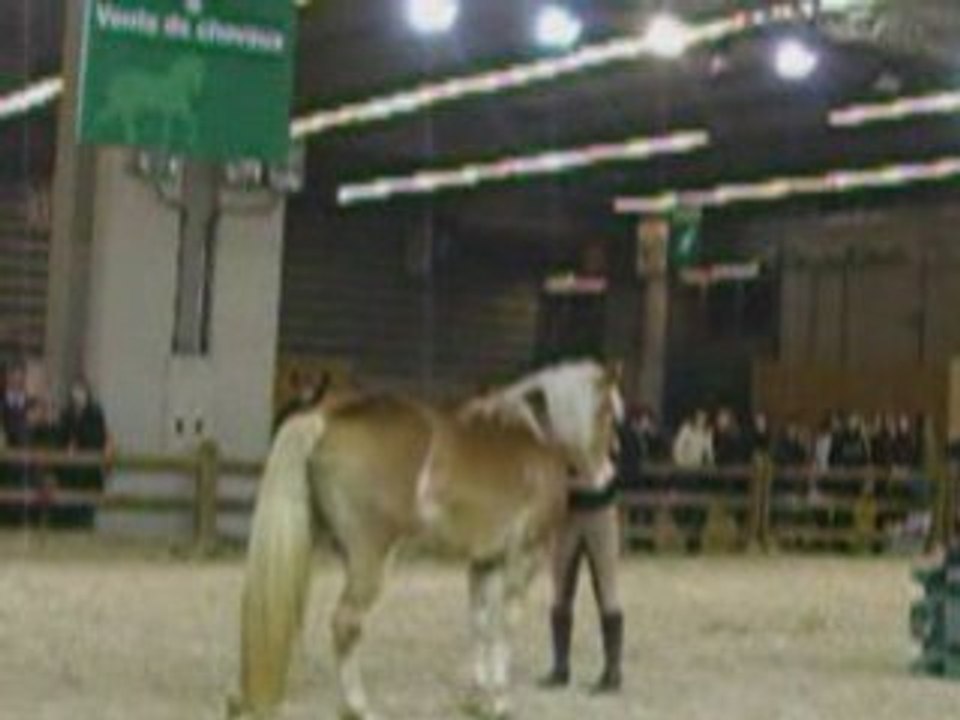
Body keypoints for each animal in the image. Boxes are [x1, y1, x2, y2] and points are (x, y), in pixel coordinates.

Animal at [230, 360, 622, 720]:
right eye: (607, 413)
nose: (603, 474)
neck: (534, 437)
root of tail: (326, 419)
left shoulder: (486, 560)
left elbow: (481, 623)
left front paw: (477, 697)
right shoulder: (524, 556)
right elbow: (504, 624)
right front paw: (499, 699)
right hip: (370, 559)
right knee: (346, 623)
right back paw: (358, 706)